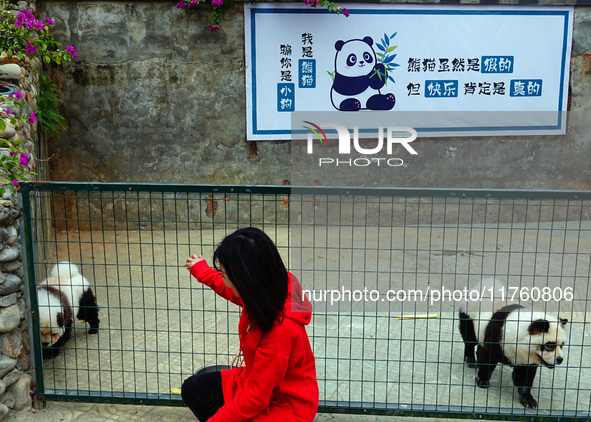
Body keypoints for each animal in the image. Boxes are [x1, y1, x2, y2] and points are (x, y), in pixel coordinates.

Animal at [458, 276, 568, 408]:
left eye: (562, 345)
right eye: (549, 345)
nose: (559, 359)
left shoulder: (526, 359)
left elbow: (524, 376)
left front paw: (528, 400)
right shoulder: (498, 336)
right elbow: (487, 357)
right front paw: (483, 380)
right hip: (470, 313)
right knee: (469, 337)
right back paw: (470, 359)